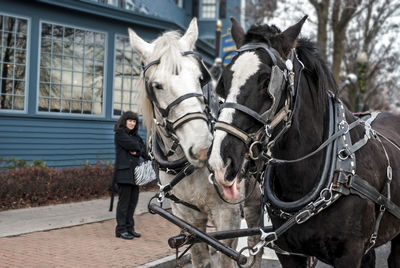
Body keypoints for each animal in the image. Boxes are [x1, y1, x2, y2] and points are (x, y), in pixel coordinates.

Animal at [130, 17, 245, 266]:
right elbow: (201, 259)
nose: (204, 150)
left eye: (200, 79)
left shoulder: (229, 216)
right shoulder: (187, 219)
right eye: (157, 85)